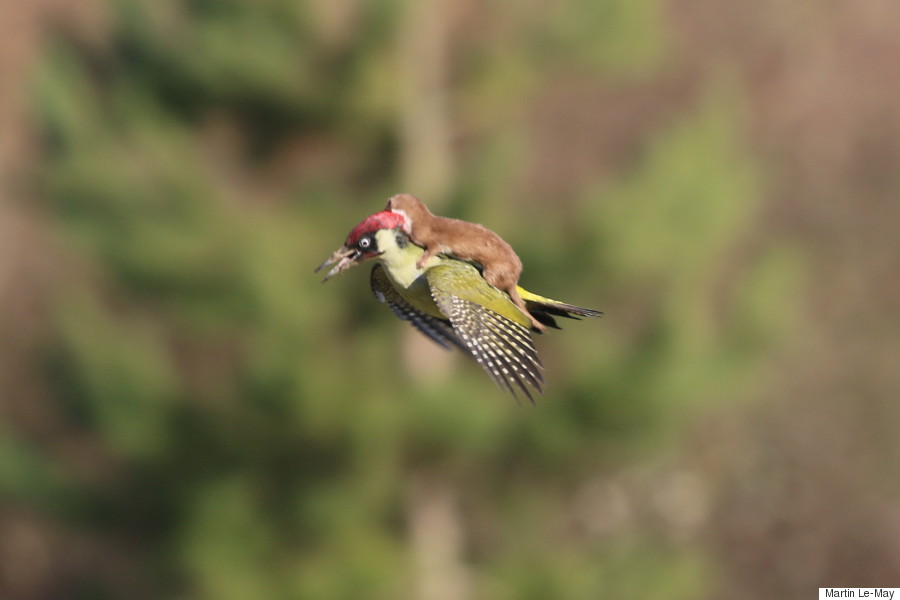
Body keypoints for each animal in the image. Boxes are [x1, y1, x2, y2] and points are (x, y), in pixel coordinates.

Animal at [384, 193, 544, 330]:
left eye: (387, 205)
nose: (383, 209)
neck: (418, 223)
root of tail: (515, 277)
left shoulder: (432, 238)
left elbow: (433, 249)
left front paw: (421, 261)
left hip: (494, 270)